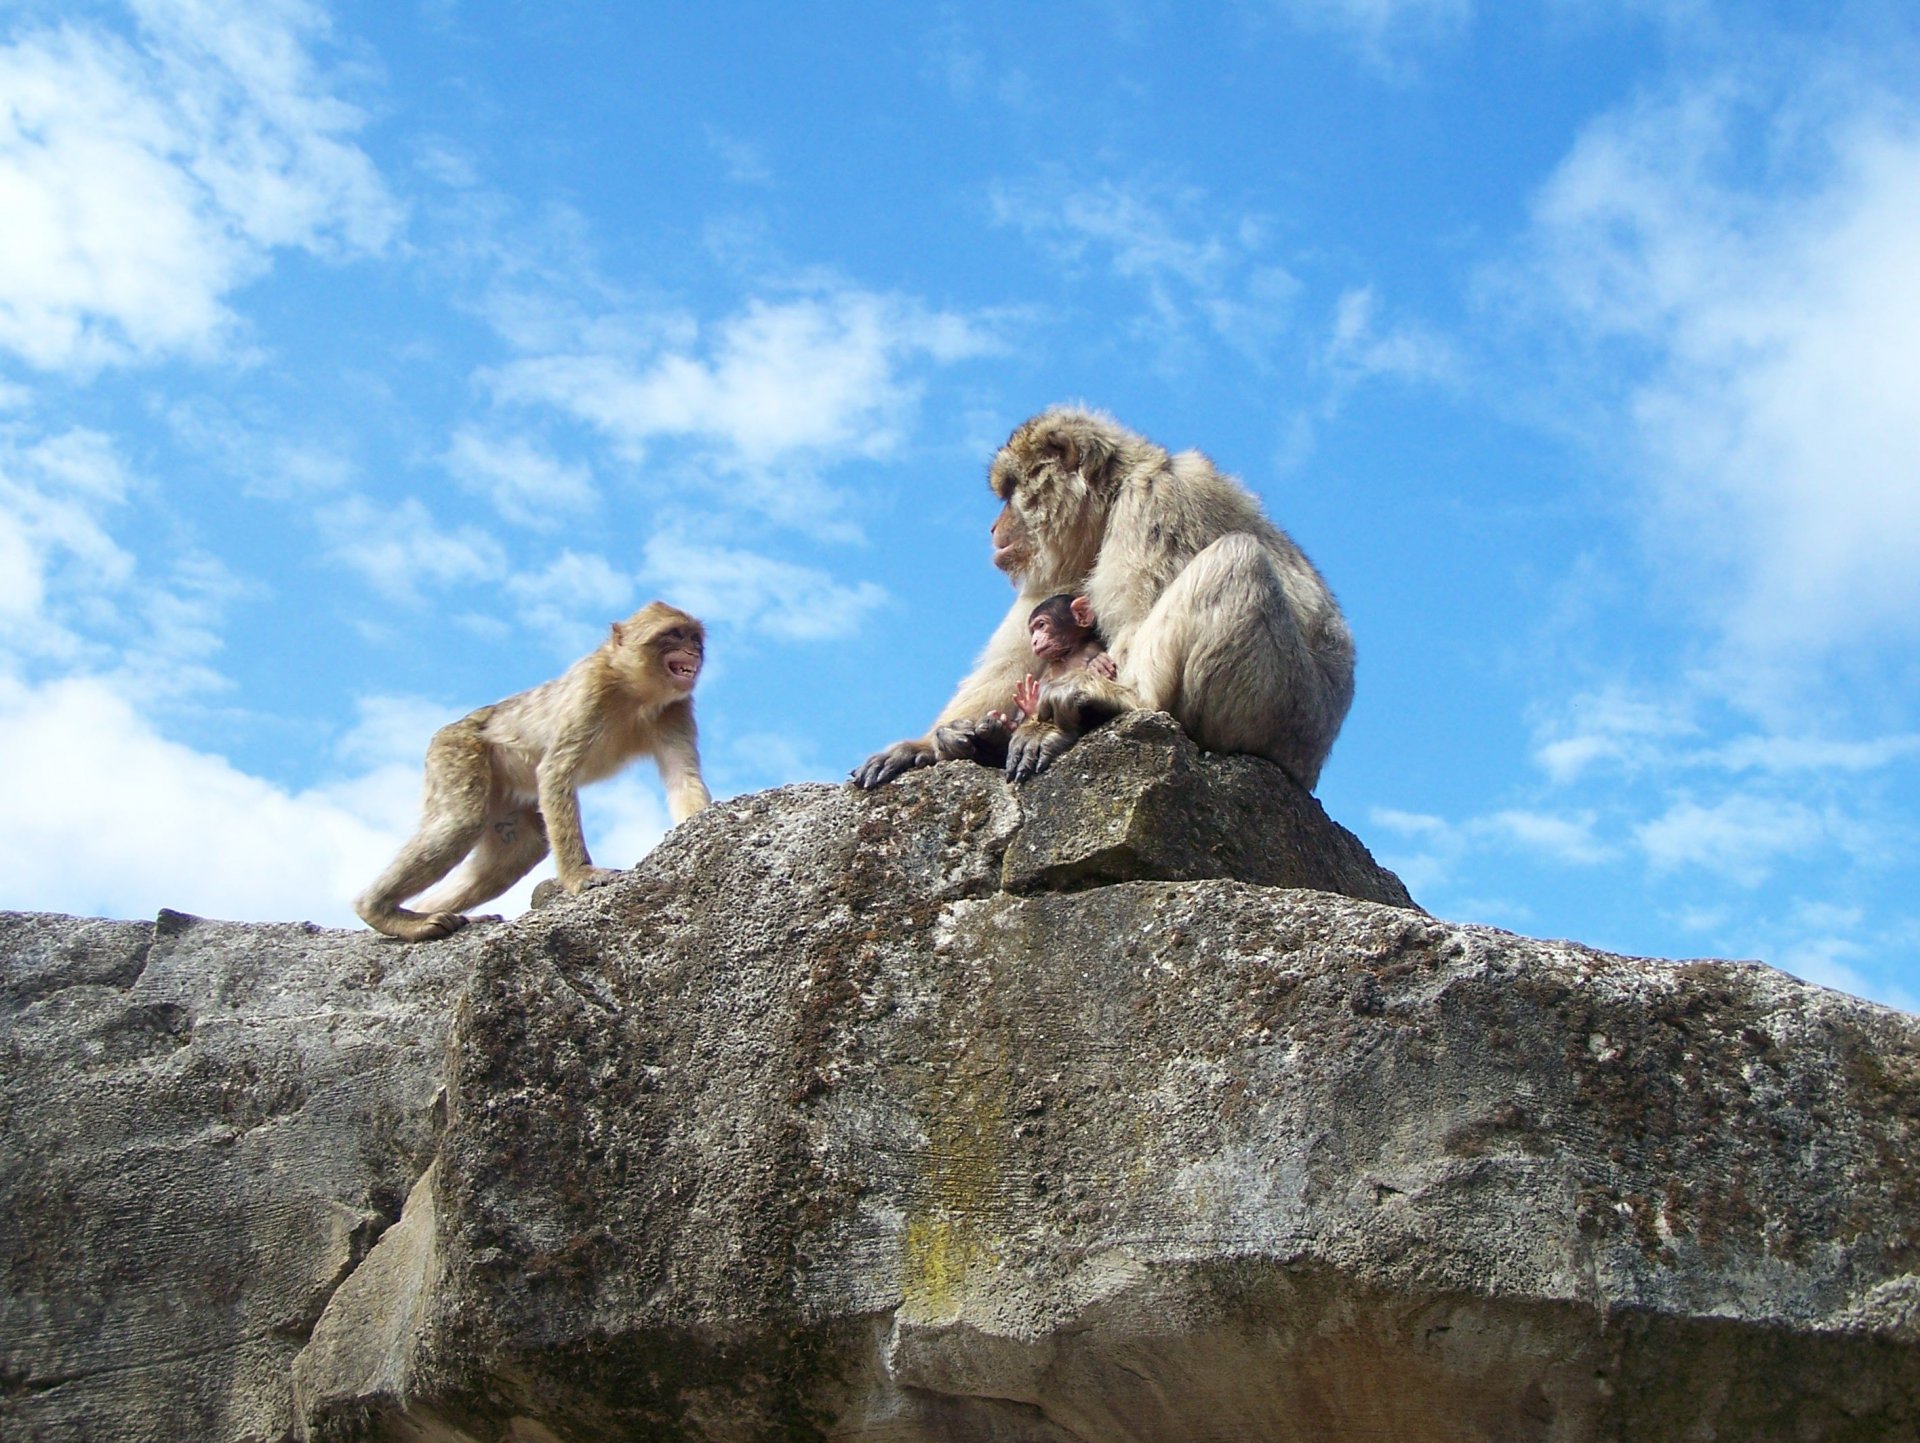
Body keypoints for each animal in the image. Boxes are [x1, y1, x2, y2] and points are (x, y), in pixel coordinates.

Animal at [355, 598, 714, 947]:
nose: (694, 651)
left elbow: (683, 778)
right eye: (674, 635)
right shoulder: (591, 690)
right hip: (455, 751)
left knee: (519, 849)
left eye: (694, 637)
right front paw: (579, 875)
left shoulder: (675, 709)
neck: (635, 691)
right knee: (461, 822)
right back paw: (381, 912)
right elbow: (556, 773)